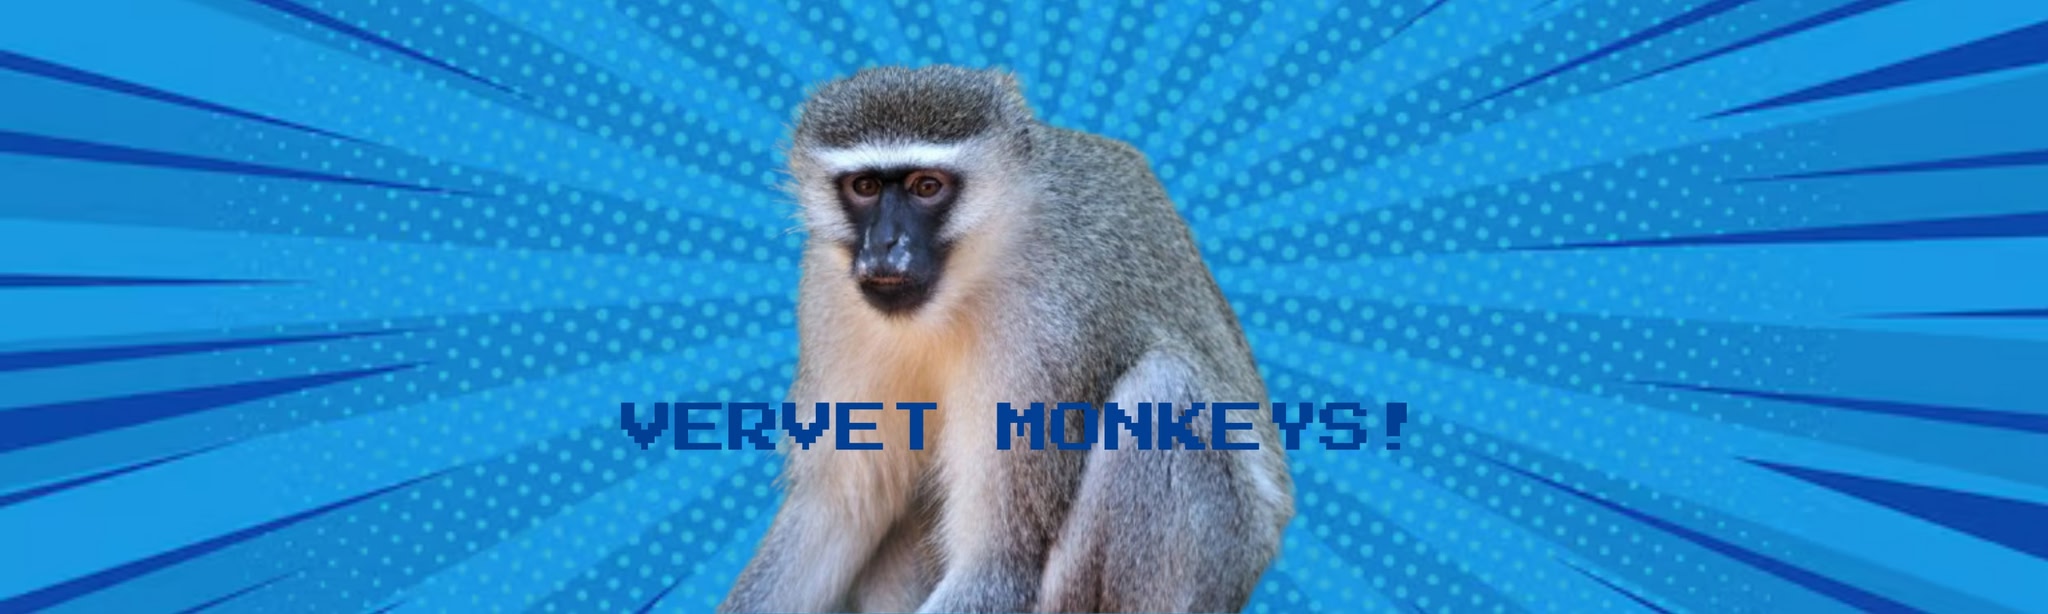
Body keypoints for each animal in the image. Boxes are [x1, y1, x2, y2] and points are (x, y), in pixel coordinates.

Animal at [719, 65, 1294, 613]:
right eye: (864, 187)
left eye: (926, 187)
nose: (884, 245)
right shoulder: (828, 293)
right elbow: (838, 513)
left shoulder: (1049, 324)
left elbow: (999, 565)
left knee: (1162, 391)